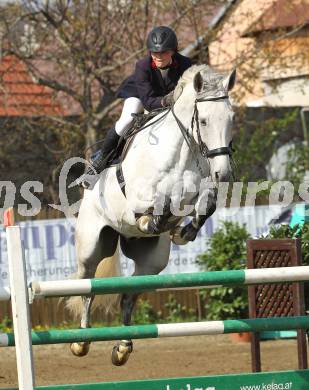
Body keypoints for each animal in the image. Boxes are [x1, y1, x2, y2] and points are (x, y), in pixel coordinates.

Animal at [67, 64, 236, 366]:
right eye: (203, 121)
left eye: (232, 119)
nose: (223, 174)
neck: (182, 151)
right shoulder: (139, 194)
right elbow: (159, 203)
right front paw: (153, 219)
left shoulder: (199, 190)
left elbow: (205, 205)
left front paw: (183, 231)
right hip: (90, 247)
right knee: (88, 288)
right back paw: (81, 342)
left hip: (151, 262)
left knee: (128, 296)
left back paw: (123, 347)